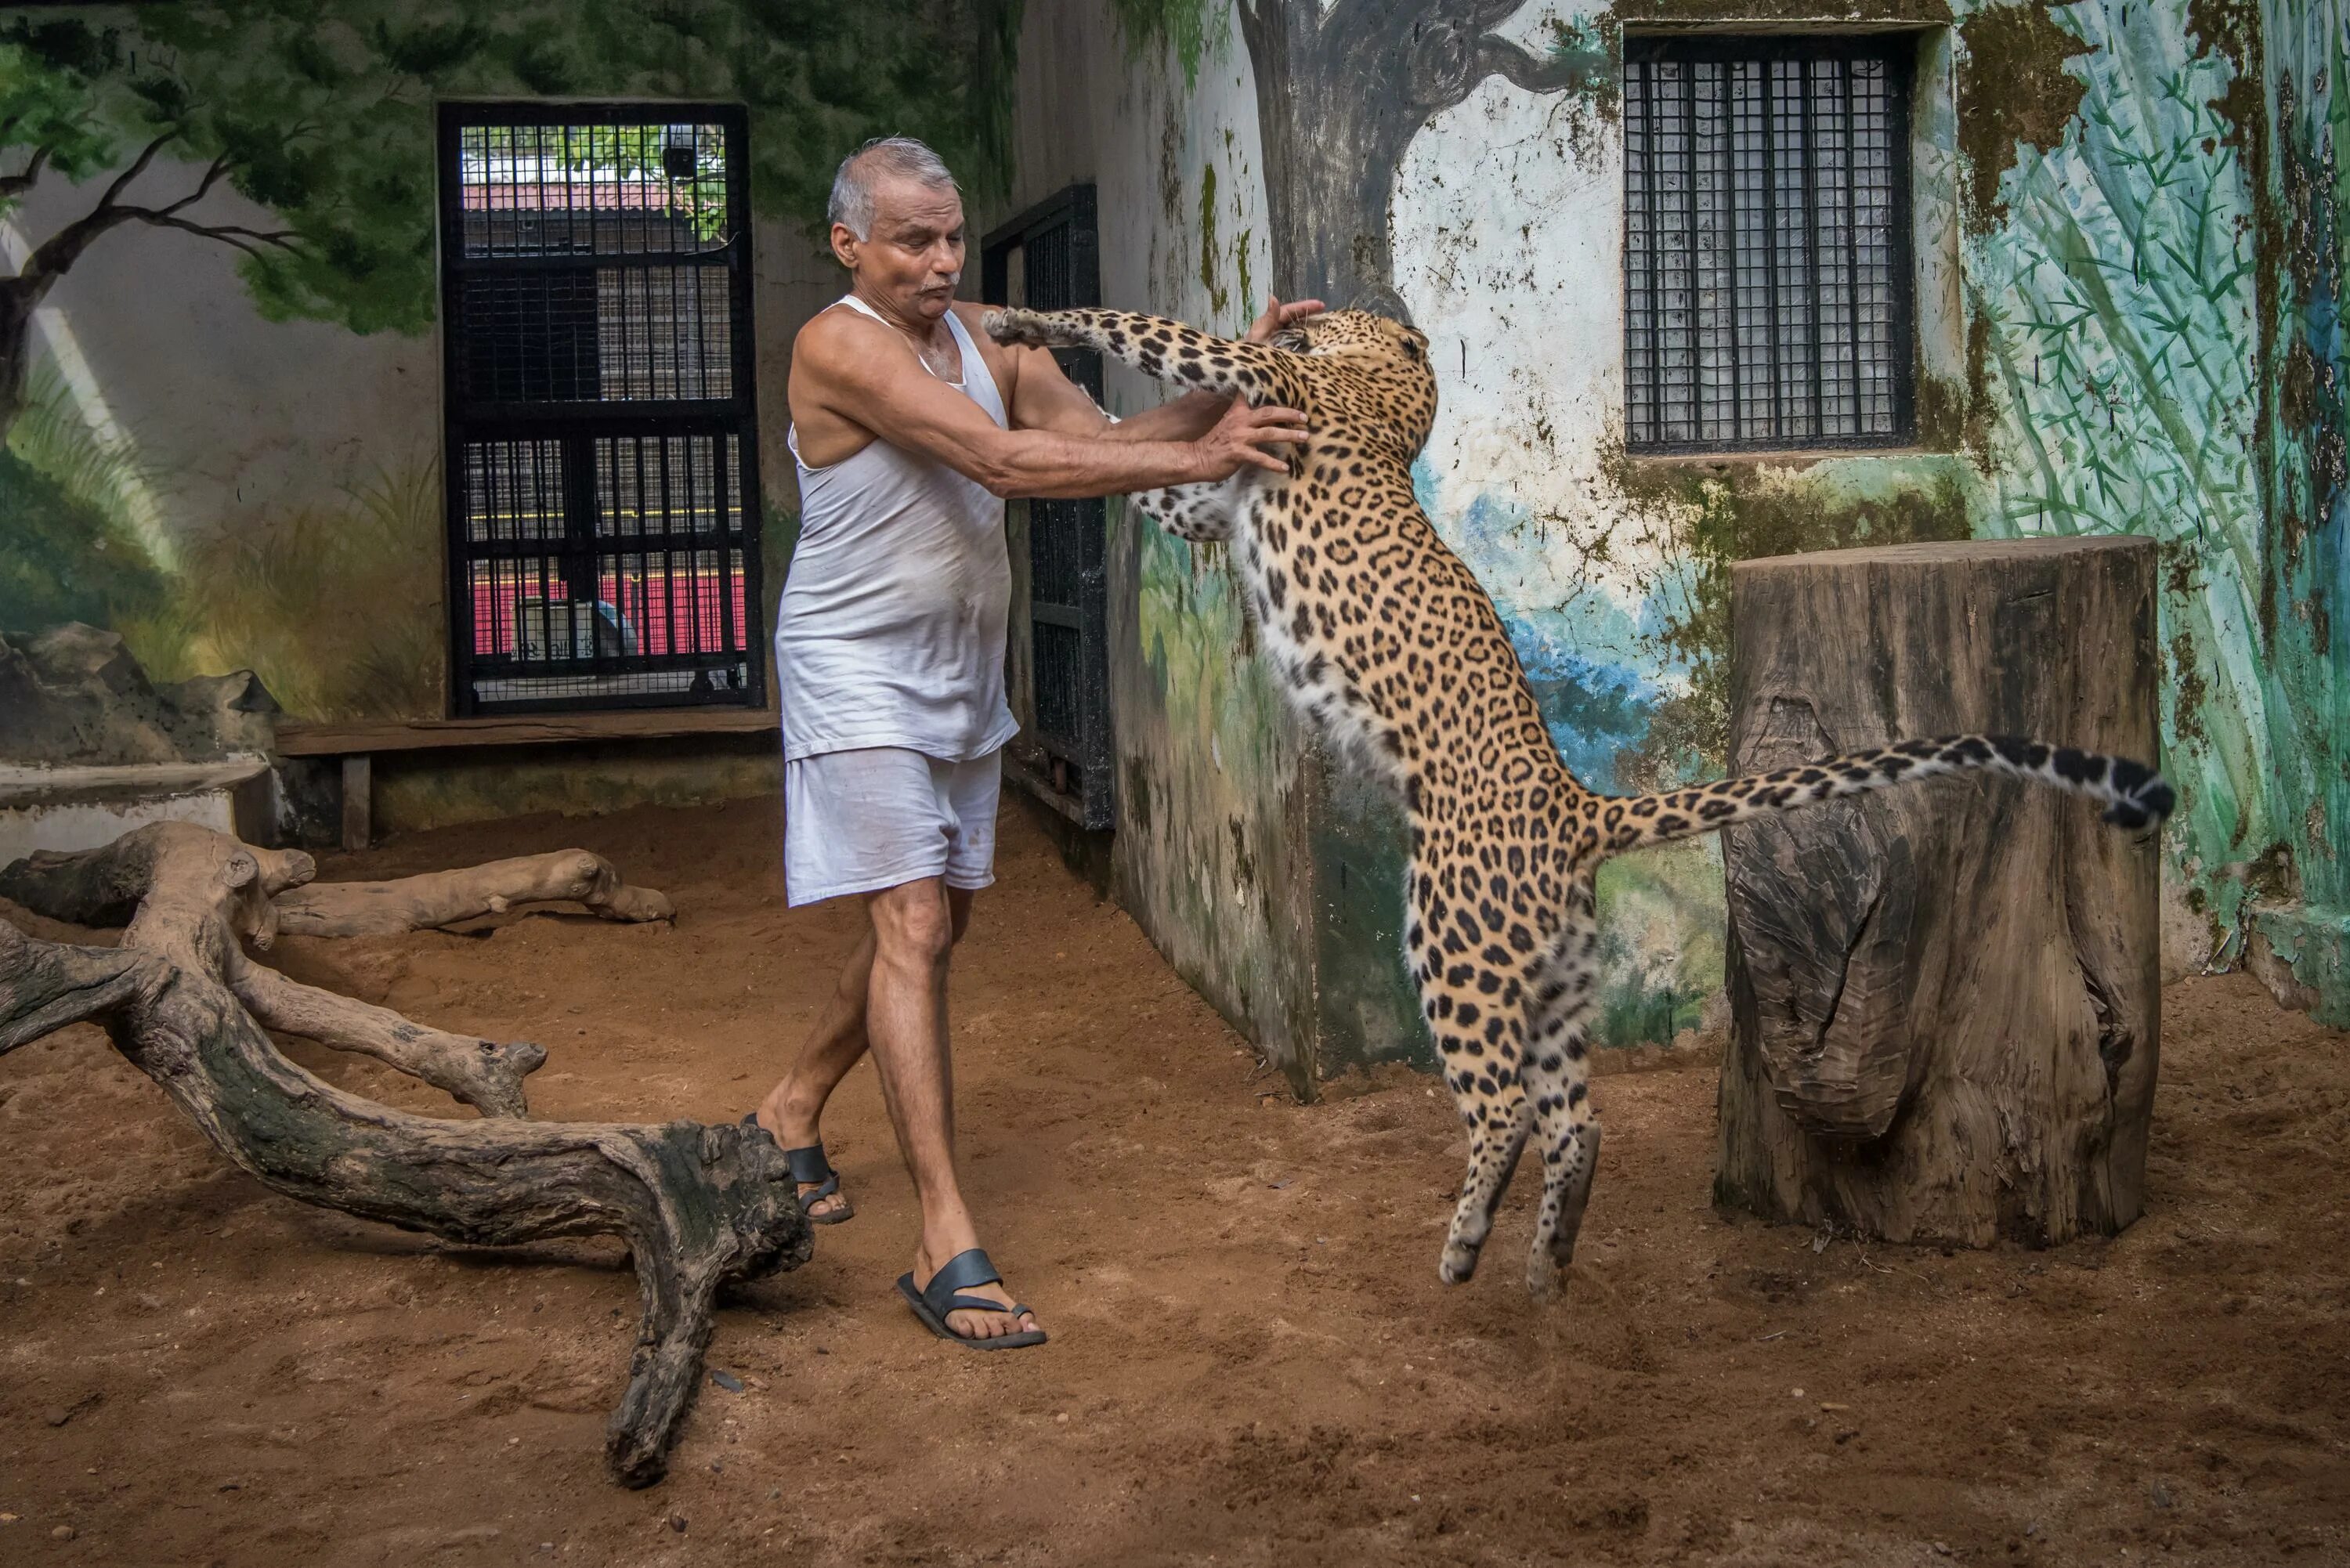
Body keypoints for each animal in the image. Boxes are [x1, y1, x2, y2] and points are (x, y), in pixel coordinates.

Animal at [982, 303, 2171, 1297]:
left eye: (1336, 313)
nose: (1301, 308)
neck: (1395, 406)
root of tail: (1574, 806)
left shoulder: (1268, 381)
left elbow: (1150, 326)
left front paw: (1019, 322)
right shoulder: (1211, 495)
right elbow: (1143, 471)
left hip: (1450, 942)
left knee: (1506, 1107)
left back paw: (1471, 1239)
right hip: (1551, 978)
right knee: (1582, 1122)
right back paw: (1538, 1259)